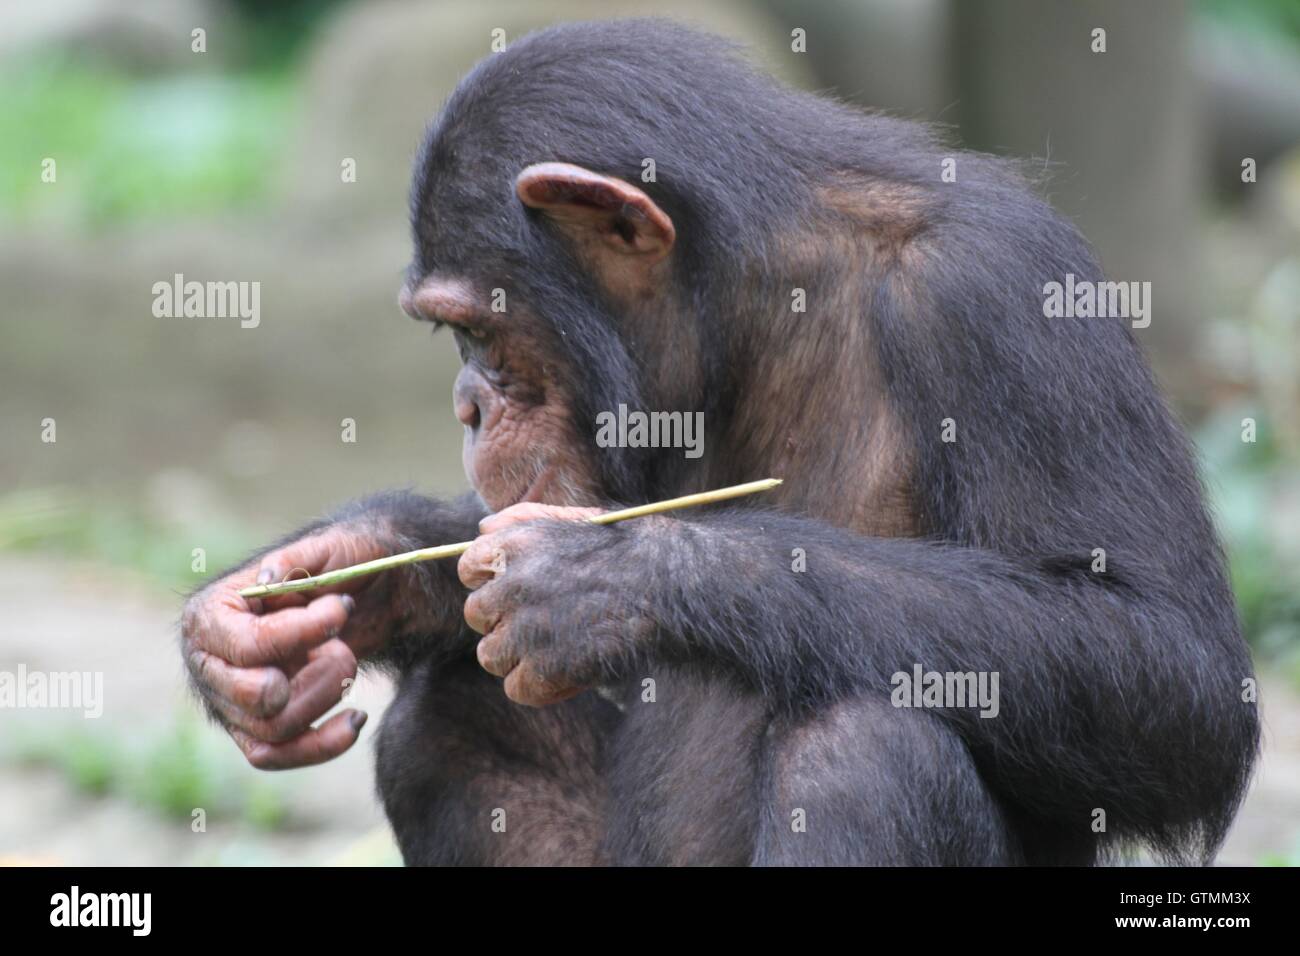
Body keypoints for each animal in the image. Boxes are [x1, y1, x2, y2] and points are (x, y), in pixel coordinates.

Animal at [180, 18, 1258, 868]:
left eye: (475, 330)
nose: (468, 404)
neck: (761, 304)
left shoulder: (1001, 291)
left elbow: (1167, 662)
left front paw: (597, 578)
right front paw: (311, 591)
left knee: (862, 752)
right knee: (445, 723)